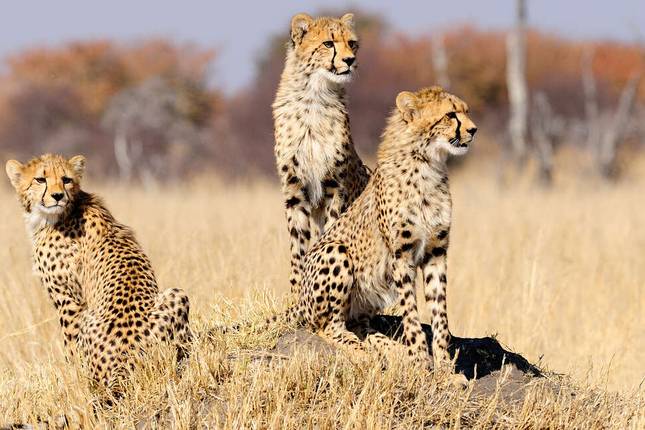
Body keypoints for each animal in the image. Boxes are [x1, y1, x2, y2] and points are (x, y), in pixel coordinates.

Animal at [5, 153, 191, 398]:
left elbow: (70, 347)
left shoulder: (70, 300)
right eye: (40, 180)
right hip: (177, 295)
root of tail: (126, 359)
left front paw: (73, 378)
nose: (57, 196)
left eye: (66, 179)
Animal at [273, 12, 370, 299]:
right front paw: (297, 289)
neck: (315, 97)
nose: (350, 60)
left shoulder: (335, 187)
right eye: (328, 43)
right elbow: (298, 246)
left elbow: (330, 230)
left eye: (352, 43)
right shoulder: (294, 190)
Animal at [278, 86, 477, 371]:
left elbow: (440, 316)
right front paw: (420, 363)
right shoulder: (401, 256)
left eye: (466, 111)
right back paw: (363, 352)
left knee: (358, 325)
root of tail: (300, 299)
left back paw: (391, 349)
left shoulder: (436, 253)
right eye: (450, 115)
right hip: (336, 252)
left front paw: (445, 369)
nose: (473, 129)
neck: (428, 164)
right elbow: (411, 315)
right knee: (327, 326)